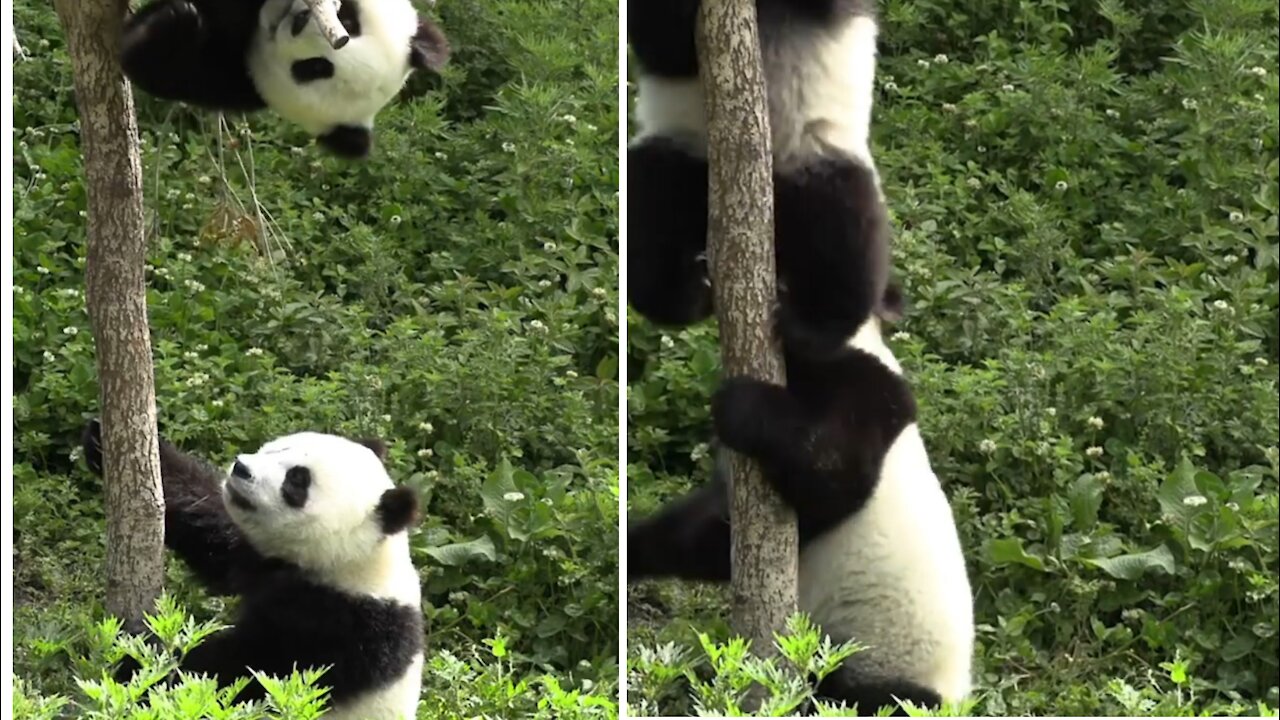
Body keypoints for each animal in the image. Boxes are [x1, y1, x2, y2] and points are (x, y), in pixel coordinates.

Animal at [82, 417, 427, 712]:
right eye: (278, 448)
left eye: (297, 480)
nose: (241, 468)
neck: (357, 564)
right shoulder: (257, 556)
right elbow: (209, 522)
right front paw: (100, 440)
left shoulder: (349, 629)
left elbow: (251, 671)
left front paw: (137, 661)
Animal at [119, 0, 450, 157]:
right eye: (349, 22)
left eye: (314, 68)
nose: (300, 20)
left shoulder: (240, 81)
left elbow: (165, 69)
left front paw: (174, 24)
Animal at [629, 0, 890, 353]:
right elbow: (662, 41)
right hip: (681, 163)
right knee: (650, 212)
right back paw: (689, 293)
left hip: (816, 165)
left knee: (844, 237)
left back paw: (804, 326)